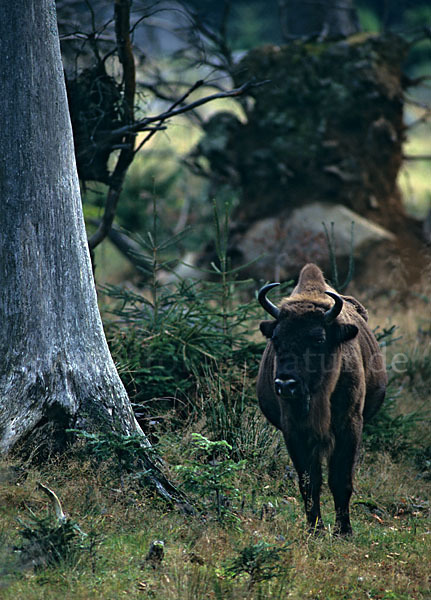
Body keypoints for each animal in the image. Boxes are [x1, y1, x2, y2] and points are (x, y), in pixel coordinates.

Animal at [258, 262, 386, 536]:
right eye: (276, 338)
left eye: (318, 338)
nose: (285, 384)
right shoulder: (294, 431)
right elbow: (309, 481)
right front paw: (314, 529)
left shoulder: (349, 426)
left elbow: (340, 480)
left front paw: (343, 530)